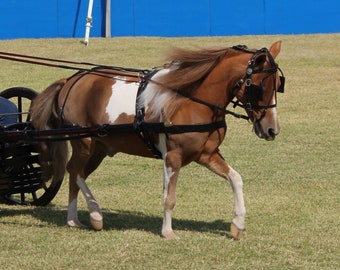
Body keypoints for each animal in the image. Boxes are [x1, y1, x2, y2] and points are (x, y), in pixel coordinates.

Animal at [30, 41, 284, 239]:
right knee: (74, 170)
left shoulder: (207, 155)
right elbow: (168, 197)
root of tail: (72, 79)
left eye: (278, 86)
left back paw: (74, 219)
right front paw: (168, 231)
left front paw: (238, 224)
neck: (191, 100)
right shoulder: (172, 156)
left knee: (76, 173)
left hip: (100, 148)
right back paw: (94, 213)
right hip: (84, 142)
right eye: (260, 87)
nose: (272, 129)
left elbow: (236, 178)